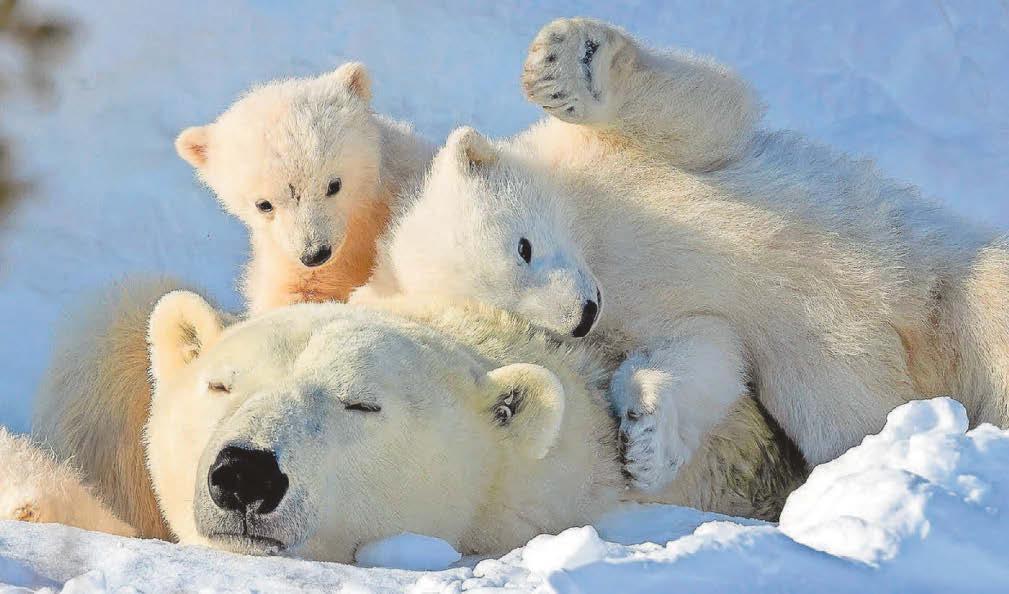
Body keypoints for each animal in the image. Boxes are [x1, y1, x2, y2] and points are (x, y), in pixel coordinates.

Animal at [360, 17, 1009, 495]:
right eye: (510, 309)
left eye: (523, 247)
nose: (581, 316)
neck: (597, 243)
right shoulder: (639, 320)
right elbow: (706, 349)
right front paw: (646, 442)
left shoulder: (606, 162)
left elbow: (702, 113)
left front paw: (570, 64)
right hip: (830, 367)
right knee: (841, 414)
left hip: (939, 273)